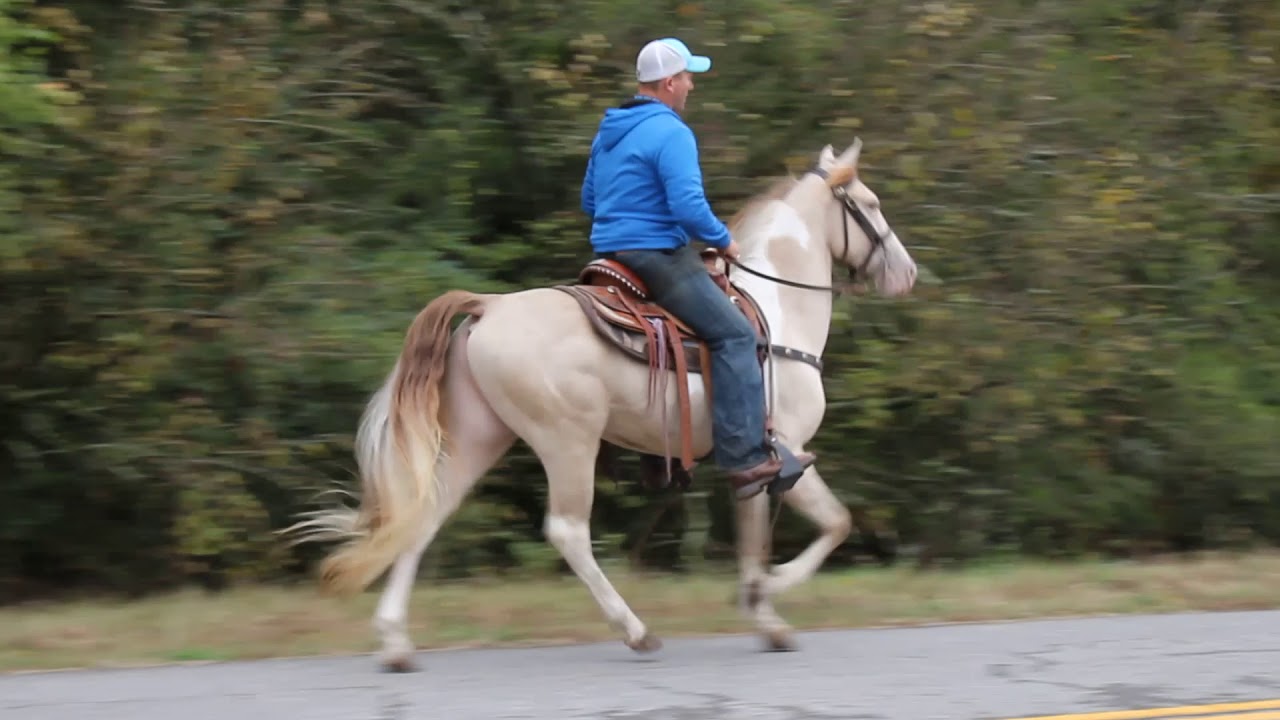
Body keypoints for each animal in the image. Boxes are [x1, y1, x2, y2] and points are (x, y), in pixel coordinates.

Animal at [286, 138, 918, 671]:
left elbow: (754, 537)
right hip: (568, 441)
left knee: (426, 515)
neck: (778, 313)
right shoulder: (786, 447)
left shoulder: (753, 464)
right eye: (869, 203)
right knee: (567, 530)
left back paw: (395, 643)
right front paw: (771, 591)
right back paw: (635, 631)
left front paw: (765, 616)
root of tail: (489, 306)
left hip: (478, 437)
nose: (906, 272)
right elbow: (835, 523)